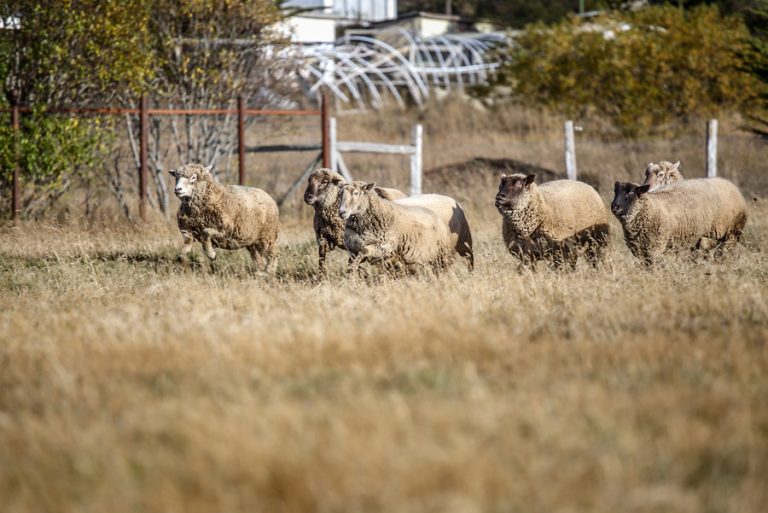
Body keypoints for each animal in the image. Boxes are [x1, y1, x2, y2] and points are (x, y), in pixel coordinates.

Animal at [610, 178, 747, 264]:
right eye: (615, 192)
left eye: (631, 192)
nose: (614, 206)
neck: (651, 208)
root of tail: (731, 185)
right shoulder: (639, 250)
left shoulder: (656, 247)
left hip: (732, 232)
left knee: (722, 253)